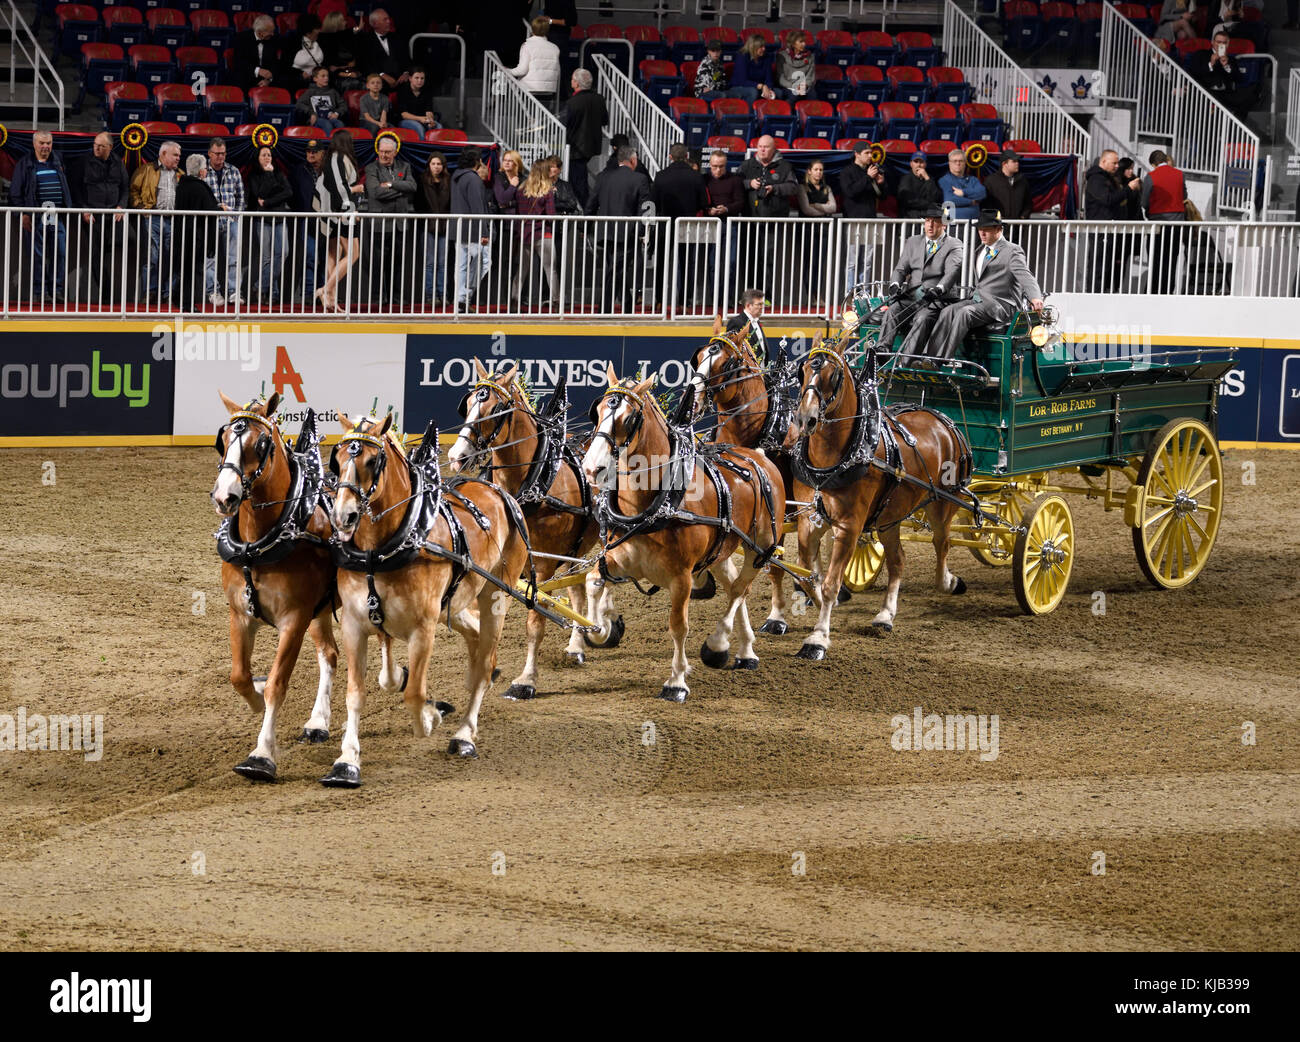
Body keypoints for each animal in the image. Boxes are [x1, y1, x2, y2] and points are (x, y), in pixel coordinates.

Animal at [211, 389, 340, 779]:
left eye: (261, 443)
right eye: (222, 439)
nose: (224, 497)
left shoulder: (293, 620)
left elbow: (277, 685)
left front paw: (261, 754)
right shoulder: (240, 614)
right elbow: (239, 675)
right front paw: (253, 695)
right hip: (321, 611)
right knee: (330, 653)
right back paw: (318, 722)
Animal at [327, 410, 530, 784]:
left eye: (373, 460)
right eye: (338, 459)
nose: (343, 516)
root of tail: (500, 493)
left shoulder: (423, 629)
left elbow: (414, 693)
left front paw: (430, 716)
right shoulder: (354, 624)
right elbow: (356, 693)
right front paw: (346, 759)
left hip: (496, 595)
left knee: (485, 661)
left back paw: (464, 734)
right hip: (456, 599)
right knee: (476, 641)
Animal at [447, 358, 603, 696]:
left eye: (494, 409)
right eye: (467, 404)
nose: (455, 457)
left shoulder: (541, 565)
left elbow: (534, 622)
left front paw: (526, 679)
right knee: (577, 589)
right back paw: (577, 644)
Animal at [585, 363, 785, 696]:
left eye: (629, 418)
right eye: (598, 410)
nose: (591, 468)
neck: (655, 505)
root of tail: (758, 456)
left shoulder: (681, 578)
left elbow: (679, 626)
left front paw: (677, 680)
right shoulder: (616, 559)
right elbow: (592, 581)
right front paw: (602, 628)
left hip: (762, 547)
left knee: (740, 589)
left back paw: (717, 646)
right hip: (720, 552)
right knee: (734, 586)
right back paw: (746, 651)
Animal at [785, 335, 972, 657]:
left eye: (833, 376)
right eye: (804, 370)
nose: (805, 419)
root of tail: (942, 418)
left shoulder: (849, 526)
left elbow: (831, 582)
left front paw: (818, 637)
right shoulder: (809, 520)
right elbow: (808, 574)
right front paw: (821, 603)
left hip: (943, 502)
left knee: (942, 542)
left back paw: (949, 582)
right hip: (889, 518)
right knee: (898, 559)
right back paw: (885, 615)